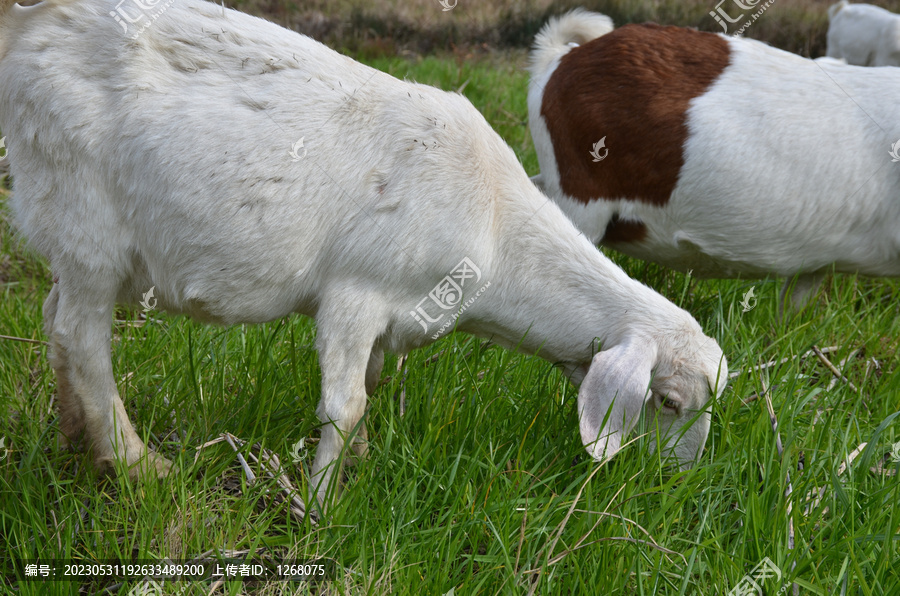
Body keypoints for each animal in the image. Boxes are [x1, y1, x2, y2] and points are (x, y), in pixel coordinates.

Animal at [0, 0, 728, 506]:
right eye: (668, 402)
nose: (679, 482)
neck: (496, 227)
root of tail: (37, 20)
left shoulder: (394, 318)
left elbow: (370, 391)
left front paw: (359, 468)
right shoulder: (356, 293)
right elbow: (344, 407)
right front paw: (317, 507)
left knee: (55, 320)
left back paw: (78, 445)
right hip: (84, 216)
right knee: (82, 338)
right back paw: (138, 466)